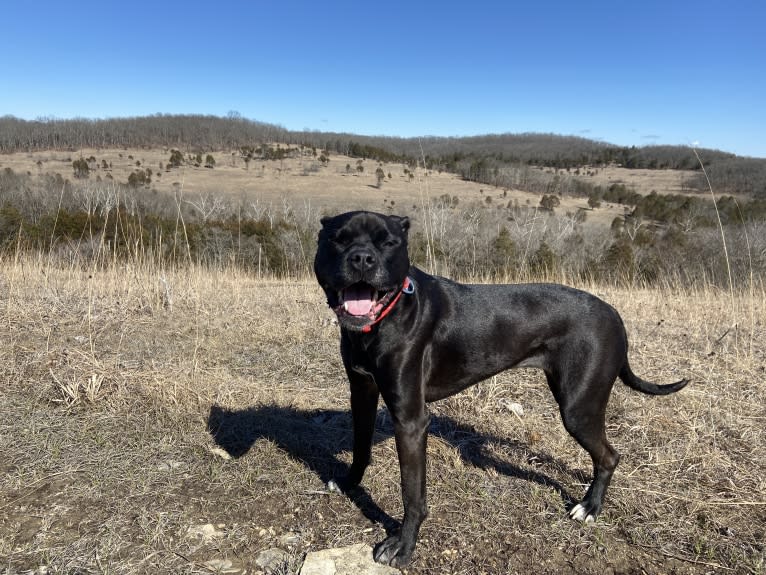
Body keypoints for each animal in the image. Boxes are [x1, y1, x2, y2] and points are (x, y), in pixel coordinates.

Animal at [314, 210, 688, 568]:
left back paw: (590, 508)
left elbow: (413, 493)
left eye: (388, 243)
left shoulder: (410, 420)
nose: (362, 258)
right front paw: (348, 483)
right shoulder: (362, 392)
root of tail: (614, 314)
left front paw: (403, 547)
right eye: (338, 239)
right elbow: (361, 447)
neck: (385, 317)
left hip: (578, 408)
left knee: (609, 455)